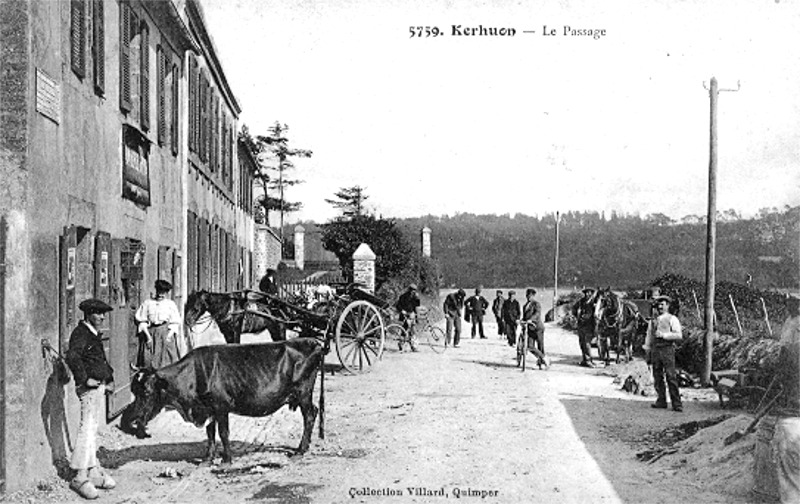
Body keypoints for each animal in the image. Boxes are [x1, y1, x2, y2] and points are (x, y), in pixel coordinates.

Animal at [122, 336, 322, 462]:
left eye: (147, 391)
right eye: (133, 390)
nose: (134, 419)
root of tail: (312, 341)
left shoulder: (221, 407)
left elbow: (223, 433)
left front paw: (227, 460)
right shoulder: (207, 409)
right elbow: (210, 434)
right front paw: (207, 459)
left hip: (303, 393)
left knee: (309, 416)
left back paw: (300, 450)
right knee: (314, 412)